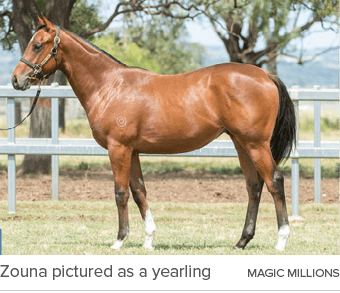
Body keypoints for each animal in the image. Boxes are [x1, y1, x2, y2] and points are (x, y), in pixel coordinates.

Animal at [11, 14, 294, 250]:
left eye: (37, 45)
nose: (16, 80)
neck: (110, 85)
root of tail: (266, 75)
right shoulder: (133, 151)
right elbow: (139, 192)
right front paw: (149, 239)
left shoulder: (118, 149)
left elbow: (121, 193)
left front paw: (119, 240)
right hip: (241, 143)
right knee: (254, 186)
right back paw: (242, 241)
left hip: (255, 143)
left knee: (275, 181)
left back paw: (281, 241)